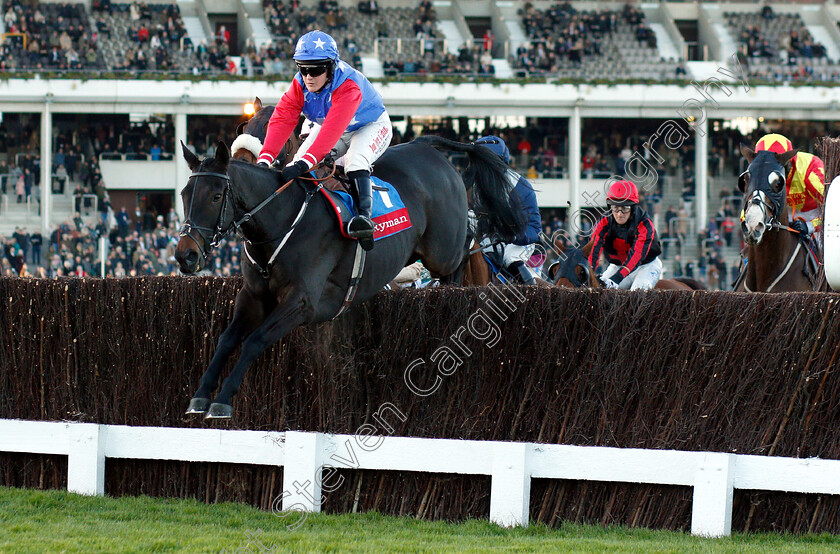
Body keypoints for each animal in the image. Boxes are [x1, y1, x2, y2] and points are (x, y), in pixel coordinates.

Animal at [174, 136, 520, 416]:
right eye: (184, 194)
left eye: (216, 195)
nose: (185, 255)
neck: (281, 219)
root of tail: (428, 148)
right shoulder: (253, 296)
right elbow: (227, 339)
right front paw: (201, 395)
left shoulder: (302, 302)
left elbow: (253, 341)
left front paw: (223, 400)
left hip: (442, 249)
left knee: (465, 246)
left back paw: (452, 286)